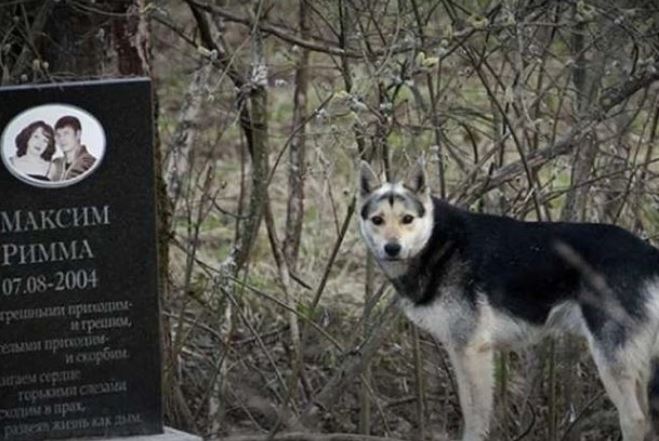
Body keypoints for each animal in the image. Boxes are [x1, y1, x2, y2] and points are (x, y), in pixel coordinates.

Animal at [358, 159, 659, 440]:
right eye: (377, 220)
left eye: (407, 219)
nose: (392, 248)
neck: (437, 242)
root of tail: (648, 255)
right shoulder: (462, 351)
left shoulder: (471, 351)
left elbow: (475, 418)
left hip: (611, 359)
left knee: (635, 420)